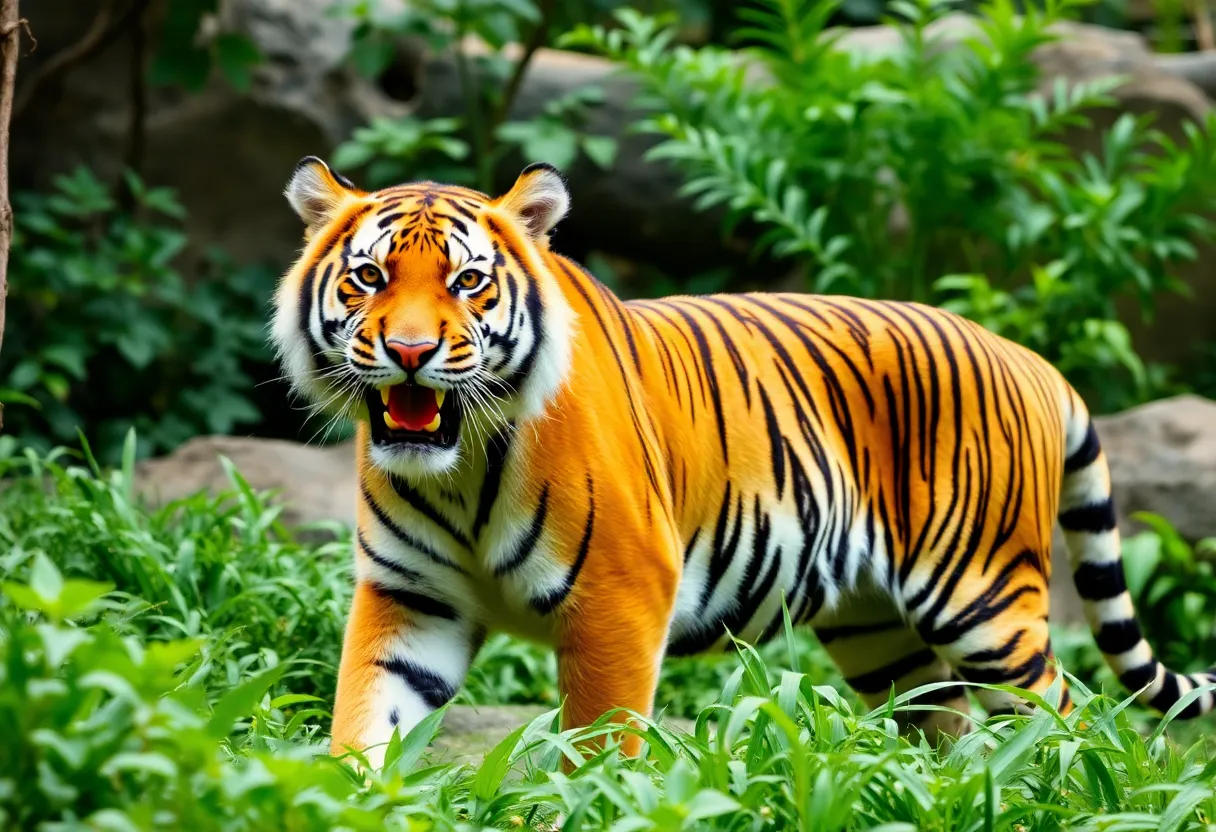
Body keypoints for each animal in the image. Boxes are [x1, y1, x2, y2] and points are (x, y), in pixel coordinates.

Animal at [271, 156, 1215, 767]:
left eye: (468, 283)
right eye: (369, 277)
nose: (410, 352)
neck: (459, 468)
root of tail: (1030, 359)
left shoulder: (621, 597)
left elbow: (600, 745)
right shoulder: (410, 601)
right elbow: (366, 718)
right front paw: (346, 800)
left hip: (984, 600)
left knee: (1074, 715)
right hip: (879, 631)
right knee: (949, 726)